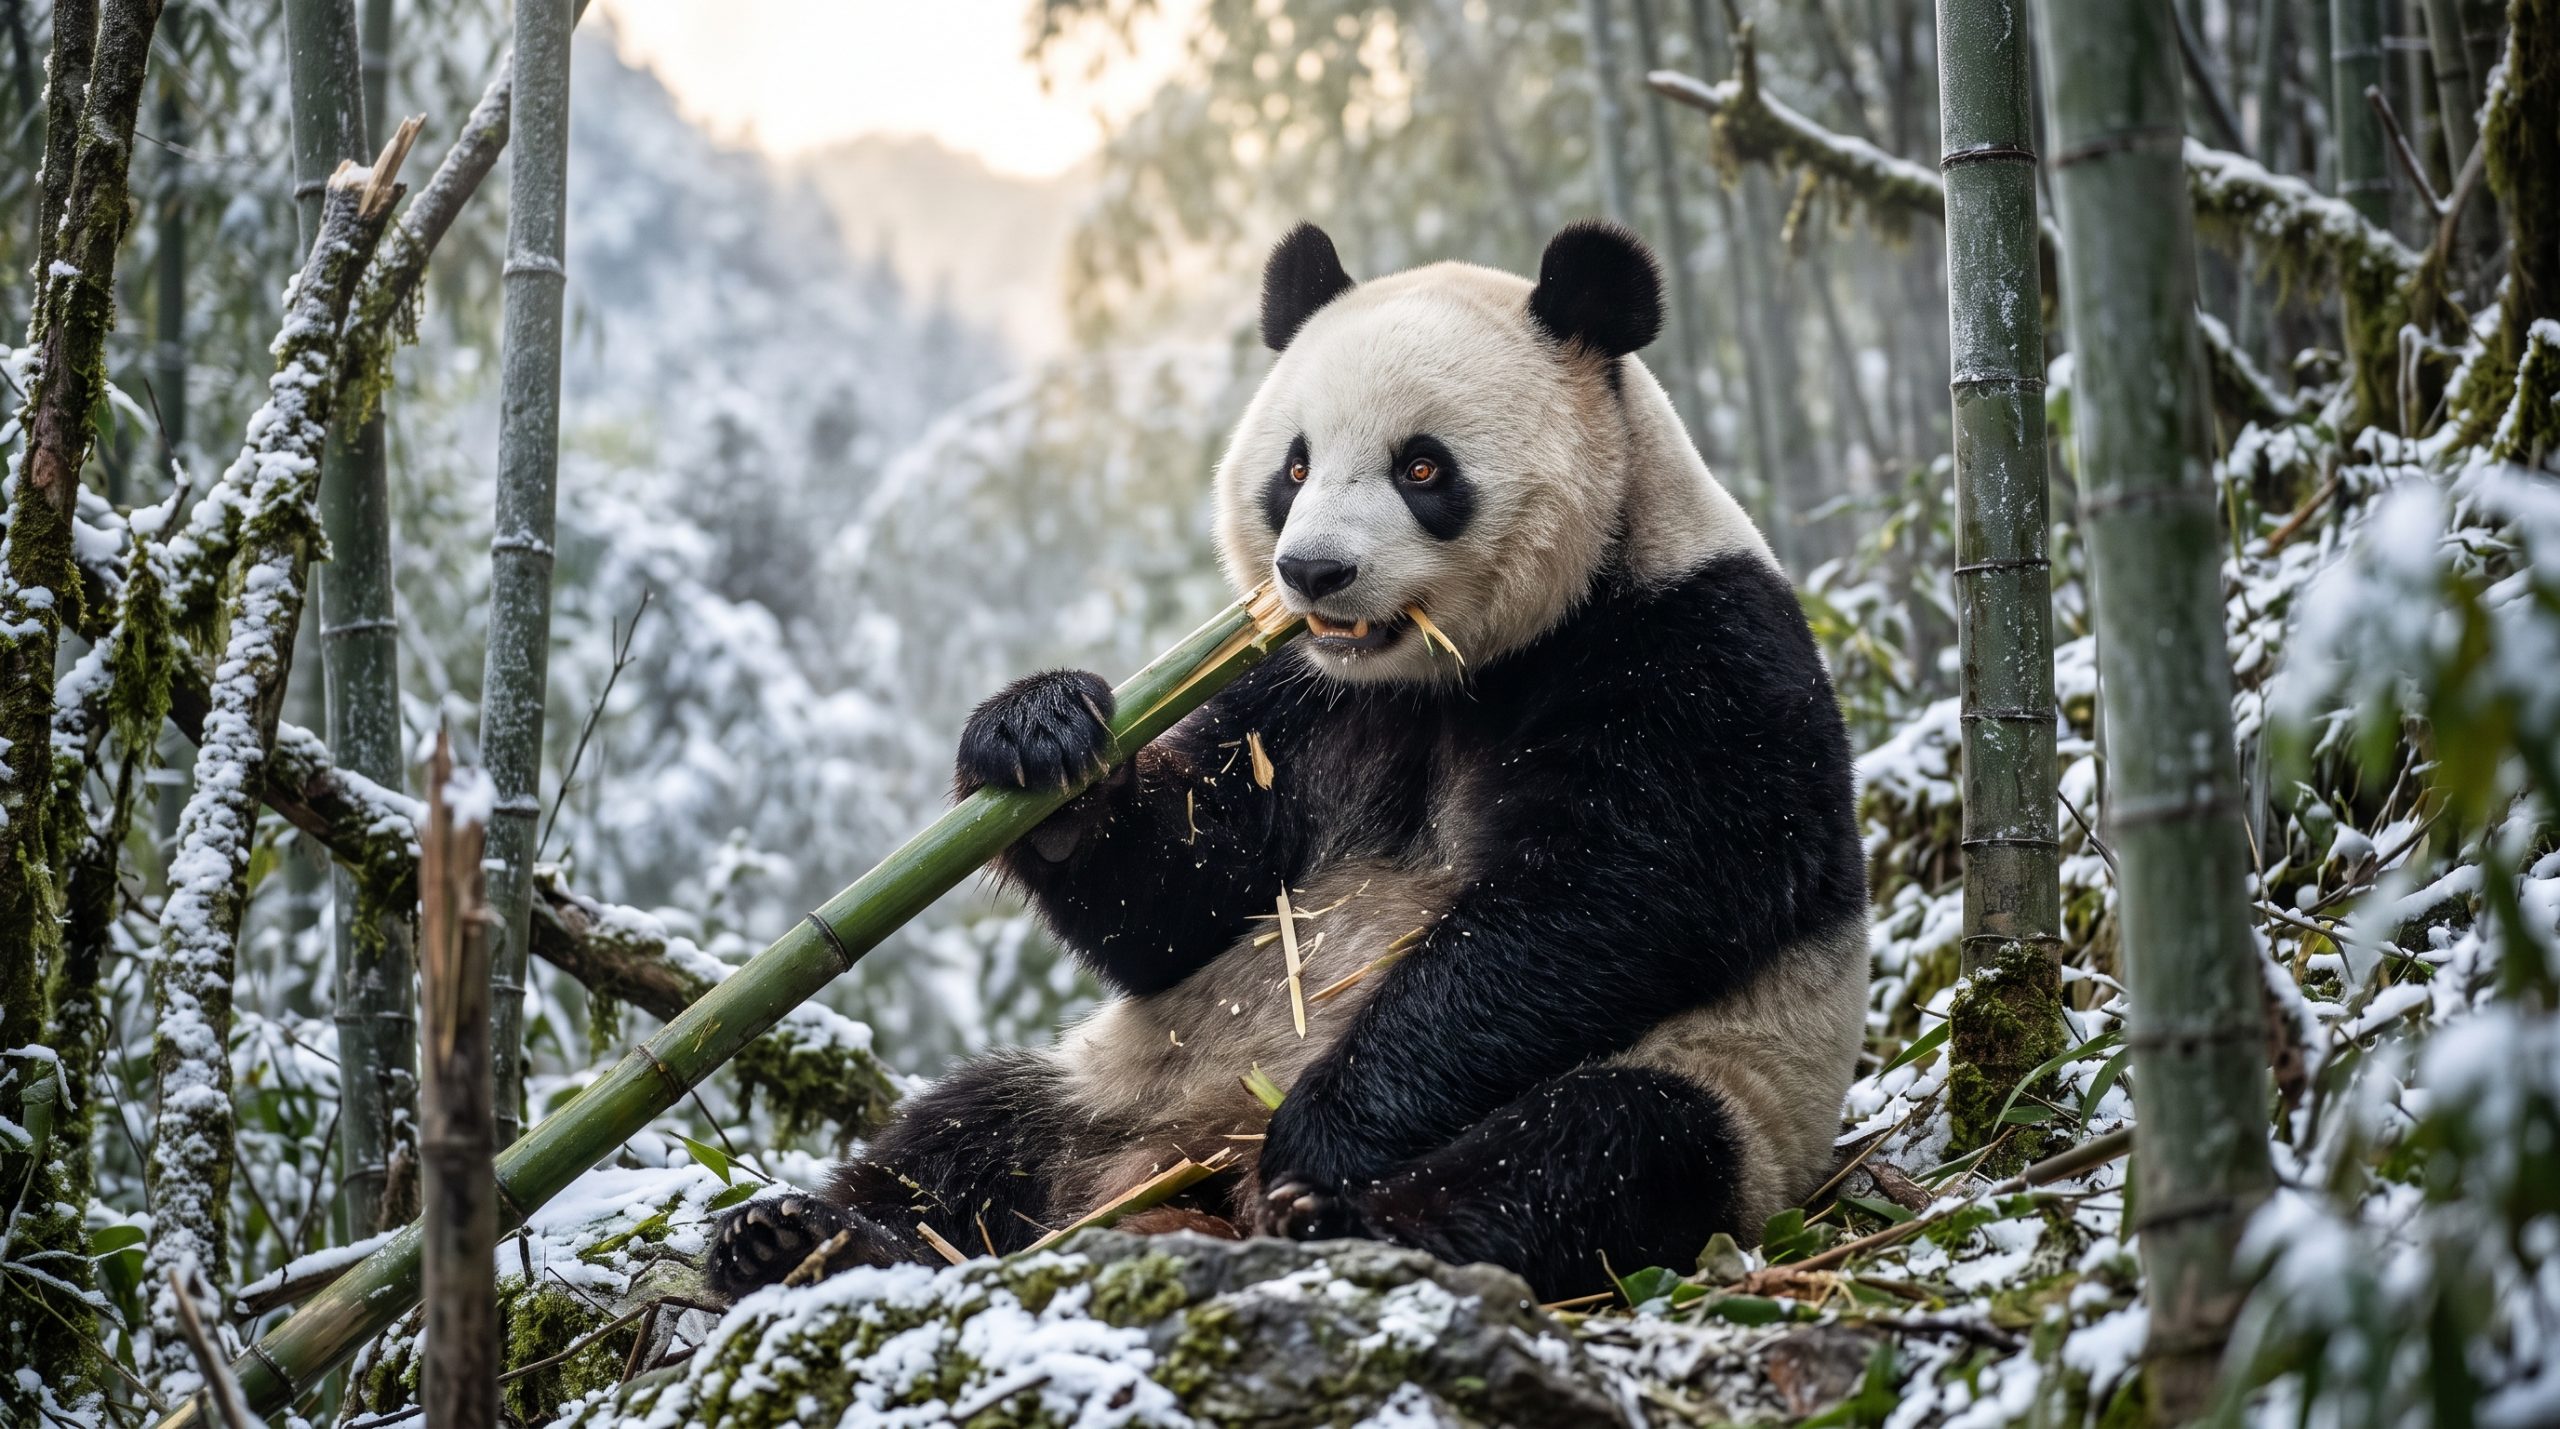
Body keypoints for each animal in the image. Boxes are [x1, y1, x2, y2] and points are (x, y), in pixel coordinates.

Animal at [707, 220, 1869, 1303]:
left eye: (1421, 466)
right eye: (1294, 466)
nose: (1312, 571)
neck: (1446, 674)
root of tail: (1178, 1172)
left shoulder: (1692, 653)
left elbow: (1613, 896)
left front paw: (1328, 1128)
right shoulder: (1296, 697)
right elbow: (1185, 900)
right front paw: (1038, 735)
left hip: (1731, 1093)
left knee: (1600, 1149)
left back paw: (1327, 1212)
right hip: (1131, 1076)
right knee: (971, 1125)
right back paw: (806, 1238)